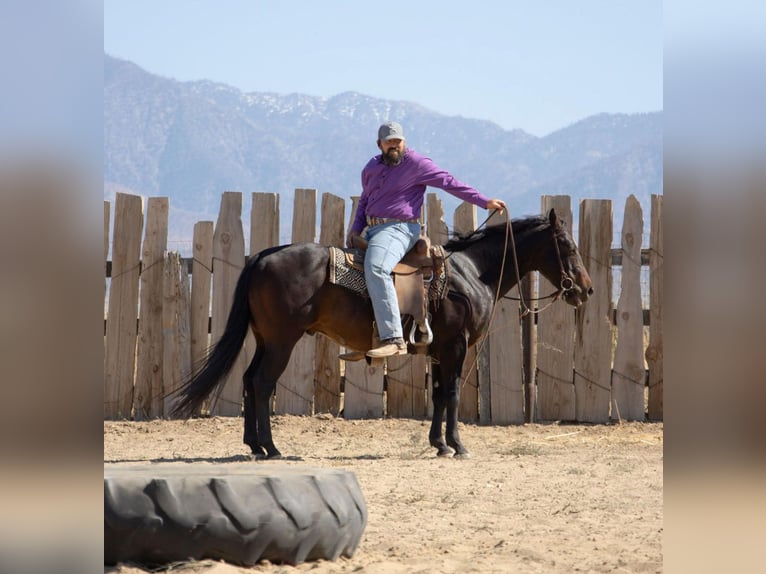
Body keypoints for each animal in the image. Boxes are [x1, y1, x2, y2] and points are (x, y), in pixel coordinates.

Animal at [172, 212, 592, 460]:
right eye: (567, 245)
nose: (585, 289)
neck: (471, 273)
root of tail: (263, 256)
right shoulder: (455, 347)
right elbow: (453, 393)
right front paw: (457, 445)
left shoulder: (438, 350)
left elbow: (438, 395)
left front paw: (438, 444)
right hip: (281, 342)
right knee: (261, 383)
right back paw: (271, 448)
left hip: (265, 339)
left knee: (247, 380)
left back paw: (254, 445)